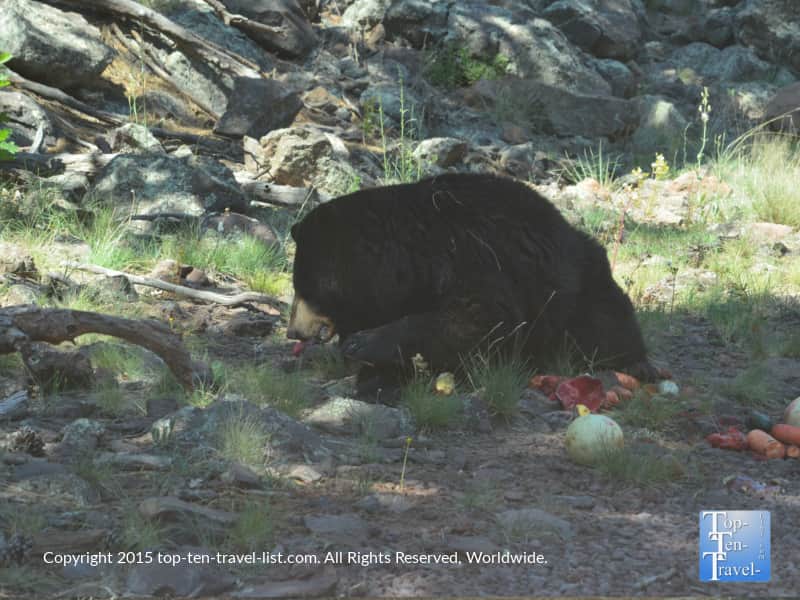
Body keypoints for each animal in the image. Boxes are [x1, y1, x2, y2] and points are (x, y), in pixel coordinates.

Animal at [287, 173, 659, 394]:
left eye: (303, 286)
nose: (293, 332)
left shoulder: (474, 257)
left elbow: (478, 318)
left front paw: (366, 345)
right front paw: (376, 373)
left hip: (578, 290)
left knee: (605, 324)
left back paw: (634, 362)